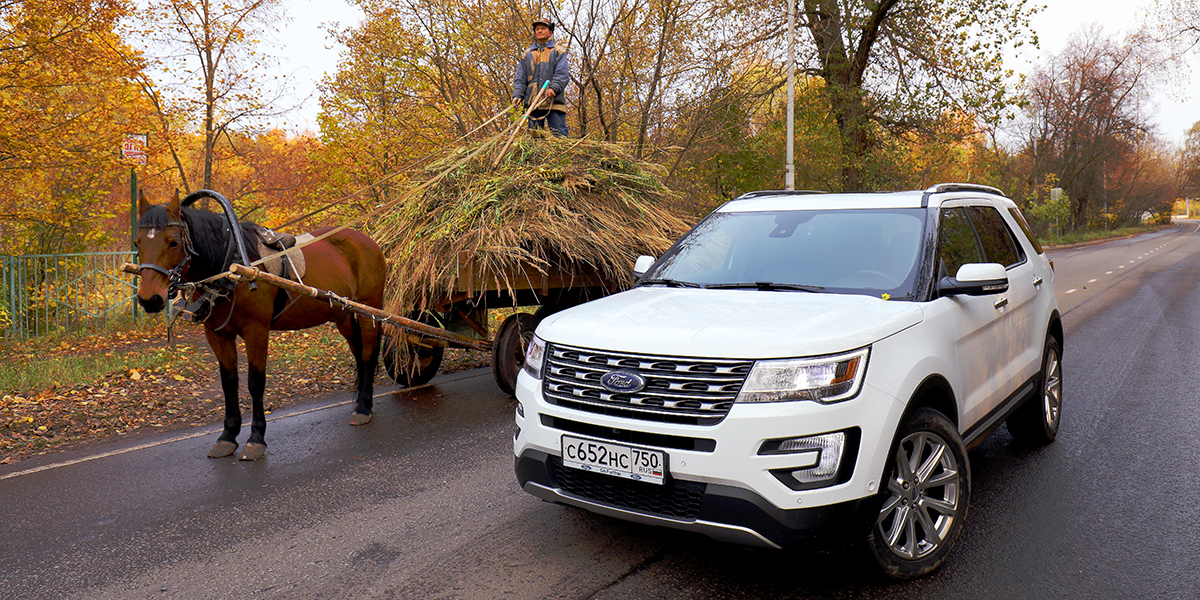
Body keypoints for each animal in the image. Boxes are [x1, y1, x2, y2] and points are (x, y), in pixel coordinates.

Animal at [138, 190, 386, 458]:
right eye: (137, 243)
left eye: (173, 242)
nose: (149, 299)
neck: (231, 267)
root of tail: (366, 240)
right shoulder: (217, 334)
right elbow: (229, 382)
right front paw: (228, 435)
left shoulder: (256, 330)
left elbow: (255, 382)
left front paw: (256, 437)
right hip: (343, 314)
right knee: (358, 351)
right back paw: (361, 402)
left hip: (369, 309)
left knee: (369, 352)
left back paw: (363, 408)